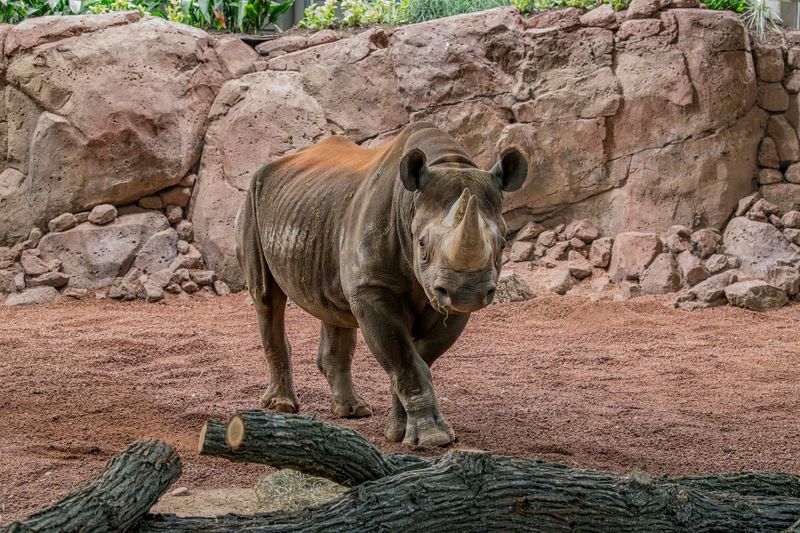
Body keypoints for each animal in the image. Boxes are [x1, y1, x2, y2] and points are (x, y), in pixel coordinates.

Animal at [235, 122, 527, 446]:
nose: (468, 292)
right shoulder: (372, 287)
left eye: (503, 244)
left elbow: (417, 359)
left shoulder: (445, 299)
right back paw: (282, 406)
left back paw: (352, 411)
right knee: (267, 297)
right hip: (253, 199)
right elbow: (405, 361)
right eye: (421, 244)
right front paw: (433, 438)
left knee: (333, 306)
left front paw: (399, 432)